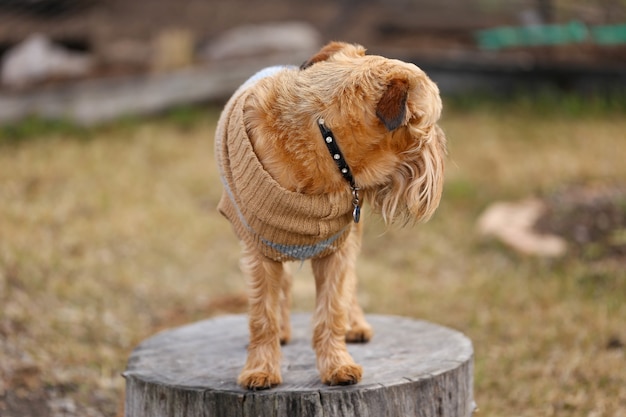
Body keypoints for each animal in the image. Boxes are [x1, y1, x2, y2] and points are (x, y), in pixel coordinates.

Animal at [214, 40, 444, 388]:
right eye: (429, 124)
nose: (440, 144)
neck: (326, 140)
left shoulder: (336, 249)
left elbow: (332, 309)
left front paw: (337, 364)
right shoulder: (259, 251)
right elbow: (262, 315)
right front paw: (261, 368)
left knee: (350, 286)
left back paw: (355, 325)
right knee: (283, 288)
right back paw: (284, 331)